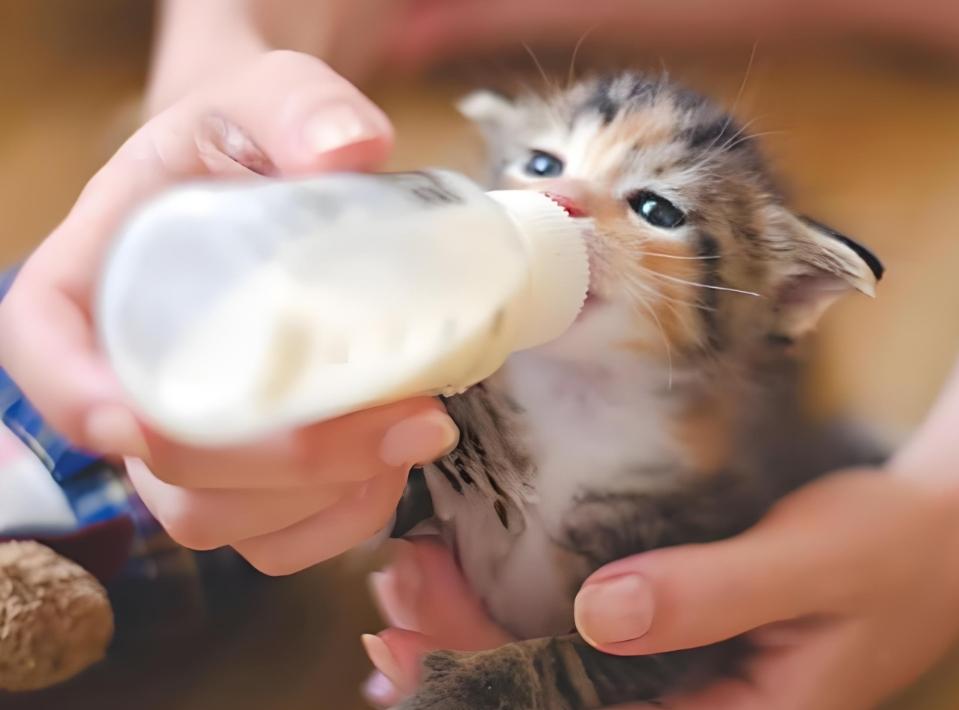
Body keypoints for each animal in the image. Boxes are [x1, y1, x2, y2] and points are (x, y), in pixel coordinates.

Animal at [388, 73, 884, 710]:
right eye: (542, 164)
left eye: (656, 209)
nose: (560, 198)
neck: (574, 392)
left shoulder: (686, 598)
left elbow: (570, 663)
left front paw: (470, 687)